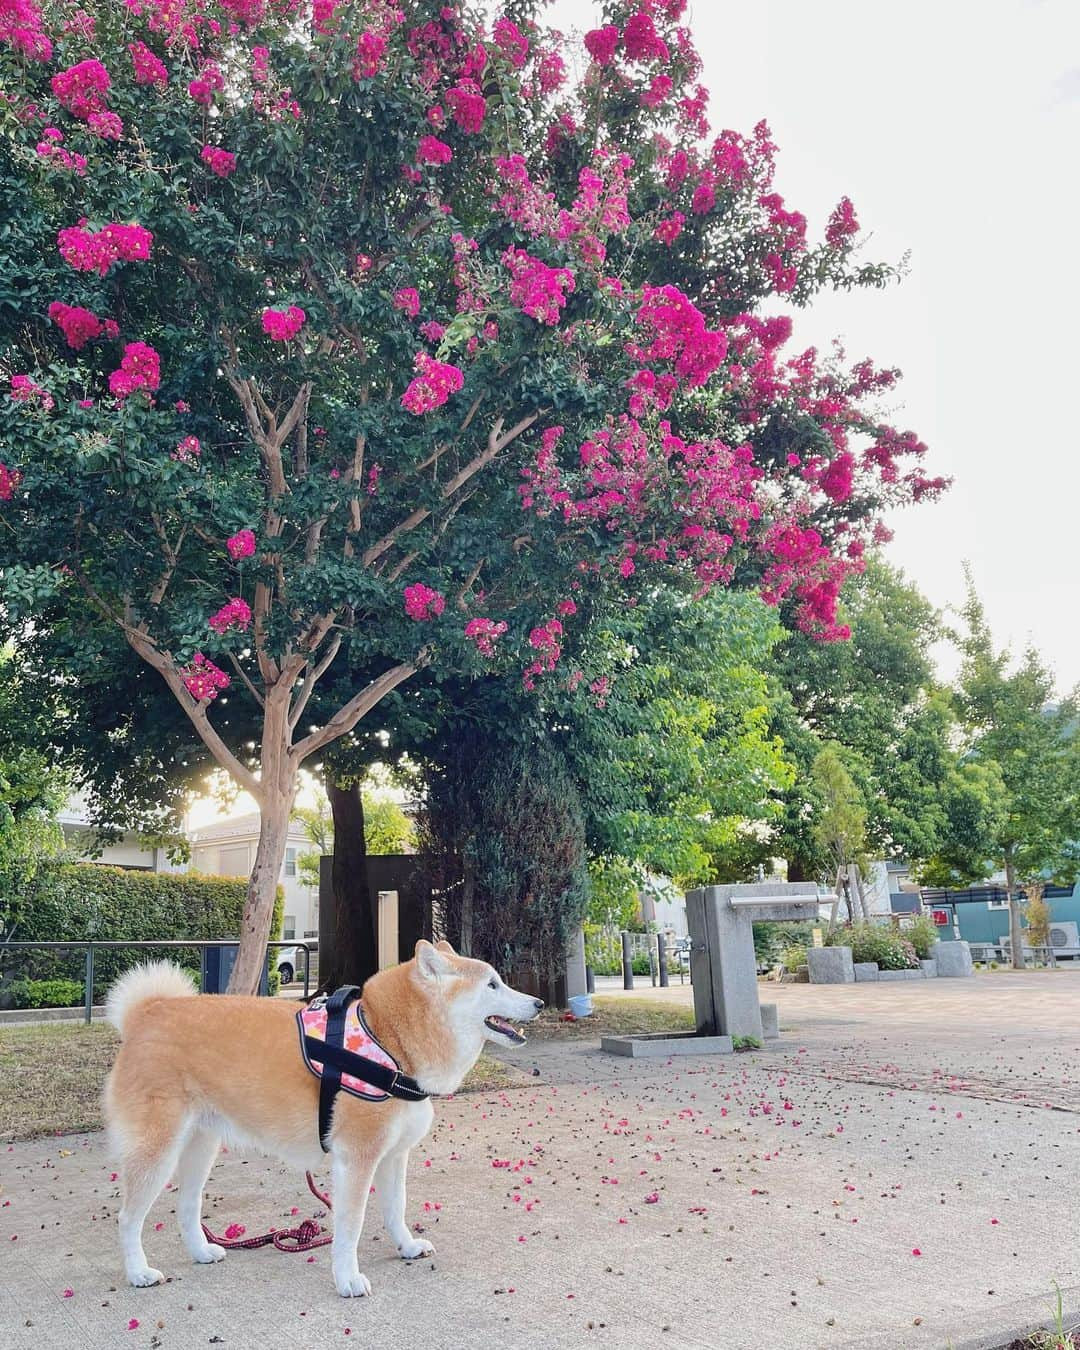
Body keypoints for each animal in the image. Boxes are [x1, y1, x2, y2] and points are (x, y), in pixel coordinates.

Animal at [103, 939, 540, 1296]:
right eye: (492, 985)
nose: (537, 1002)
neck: (388, 1042)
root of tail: (147, 1013)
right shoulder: (357, 1159)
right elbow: (351, 1225)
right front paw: (347, 1278)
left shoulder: (393, 1156)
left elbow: (395, 1208)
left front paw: (406, 1246)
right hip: (158, 1150)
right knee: (128, 1217)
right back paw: (138, 1272)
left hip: (200, 1146)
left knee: (187, 1206)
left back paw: (199, 1252)